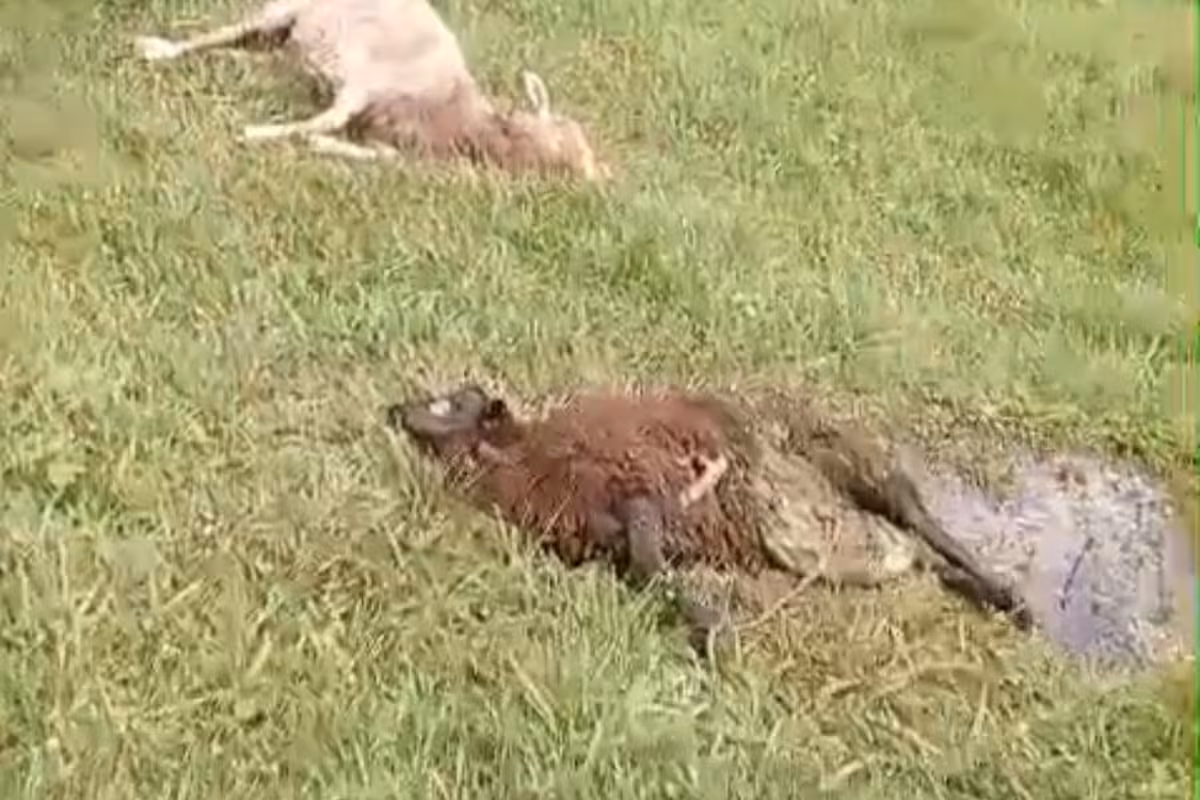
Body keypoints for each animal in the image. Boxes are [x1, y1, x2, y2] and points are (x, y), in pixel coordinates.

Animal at [134, 0, 610, 181]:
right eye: (559, 130)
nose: (593, 177)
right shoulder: (363, 87)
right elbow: (323, 120)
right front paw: (254, 134)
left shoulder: (392, 140)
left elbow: (366, 150)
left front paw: (320, 146)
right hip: (287, 10)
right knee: (225, 33)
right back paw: (158, 49)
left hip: (284, 38)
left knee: (254, 51)